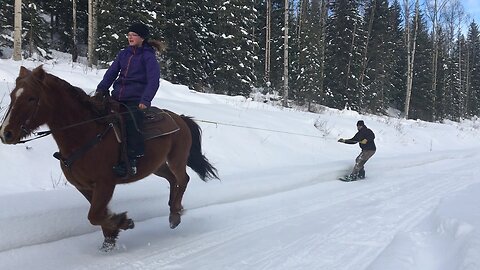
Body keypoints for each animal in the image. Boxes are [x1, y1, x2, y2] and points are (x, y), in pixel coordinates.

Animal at [0, 65, 218, 251]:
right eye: (12, 95)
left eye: (31, 98)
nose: (6, 133)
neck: (84, 134)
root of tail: (181, 119)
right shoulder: (84, 186)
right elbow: (98, 213)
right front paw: (110, 238)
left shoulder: (105, 183)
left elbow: (94, 215)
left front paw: (123, 222)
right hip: (157, 166)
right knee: (173, 180)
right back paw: (172, 210)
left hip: (176, 159)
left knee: (183, 179)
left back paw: (175, 213)